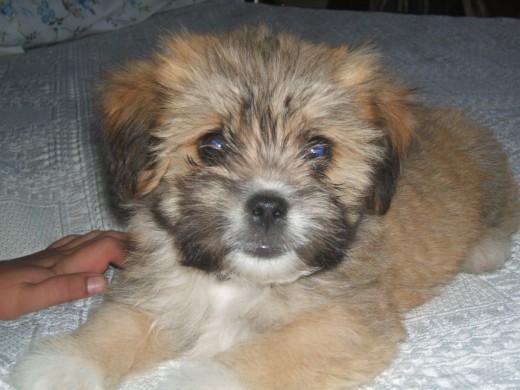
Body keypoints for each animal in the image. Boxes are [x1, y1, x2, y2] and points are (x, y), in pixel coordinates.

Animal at [12, 25, 520, 388]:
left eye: (319, 149)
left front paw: (200, 380)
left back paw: (484, 249)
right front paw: (64, 364)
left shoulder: (343, 323)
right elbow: (114, 328)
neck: (237, 282)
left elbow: (267, 355)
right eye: (212, 145)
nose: (269, 206)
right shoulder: (157, 297)